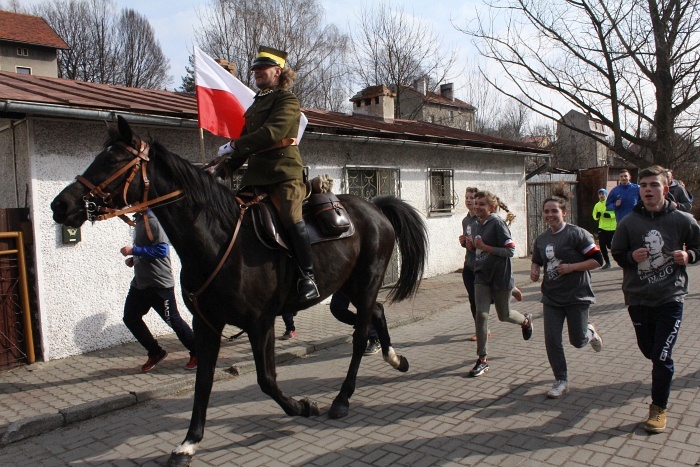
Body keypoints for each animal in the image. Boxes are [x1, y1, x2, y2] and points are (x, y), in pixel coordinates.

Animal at [50, 118, 426, 467]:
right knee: (376, 312)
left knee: (361, 334)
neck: (217, 242)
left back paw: (342, 398)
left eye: (113, 159)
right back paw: (396, 359)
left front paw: (303, 406)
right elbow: (203, 382)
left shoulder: (260, 323)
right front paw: (188, 443)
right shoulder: (206, 325)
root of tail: (374, 208)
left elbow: (266, 380)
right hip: (347, 290)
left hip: (366, 282)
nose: (60, 205)